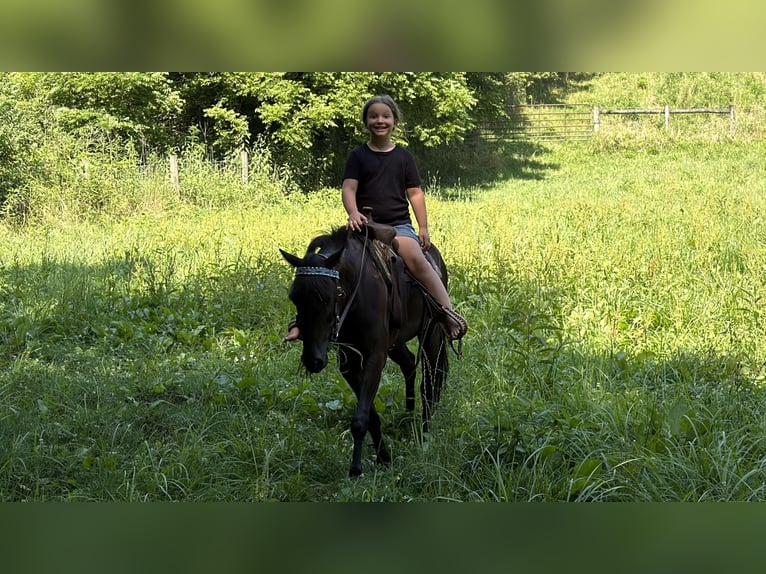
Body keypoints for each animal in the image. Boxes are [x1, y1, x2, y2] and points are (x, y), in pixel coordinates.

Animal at [280, 222, 450, 477]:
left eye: (330, 296)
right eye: (294, 297)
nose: (313, 360)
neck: (355, 294)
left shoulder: (375, 356)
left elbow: (360, 418)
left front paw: (356, 469)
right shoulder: (349, 362)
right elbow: (370, 414)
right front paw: (383, 457)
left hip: (431, 333)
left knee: (431, 380)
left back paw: (425, 432)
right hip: (395, 342)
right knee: (410, 365)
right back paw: (408, 415)